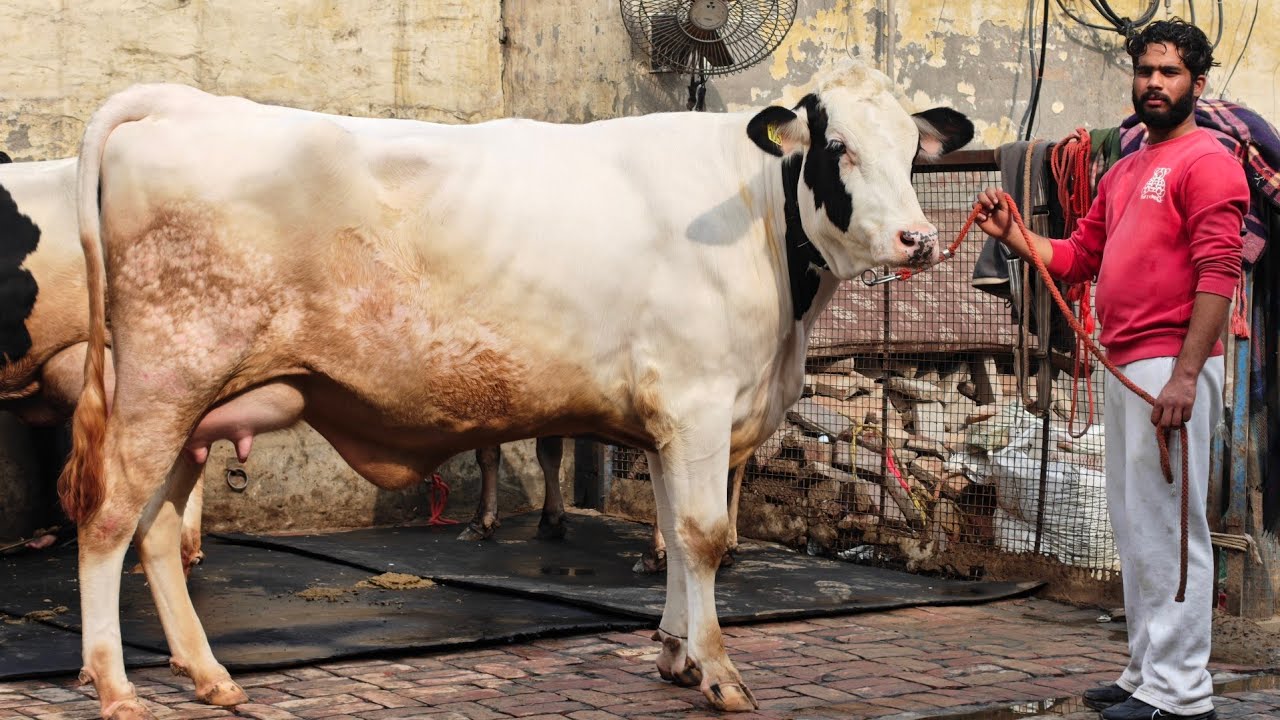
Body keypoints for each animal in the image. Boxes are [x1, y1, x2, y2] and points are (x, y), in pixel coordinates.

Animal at [59, 60, 972, 717]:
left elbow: (675, 540)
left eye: (911, 151)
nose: (918, 239)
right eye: (837, 147)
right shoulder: (700, 402)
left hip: (193, 405)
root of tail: (180, 102)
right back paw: (115, 686)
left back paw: (208, 674)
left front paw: (674, 655)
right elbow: (705, 536)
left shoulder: (672, 421)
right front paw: (717, 673)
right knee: (108, 521)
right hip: (163, 381)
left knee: (156, 530)